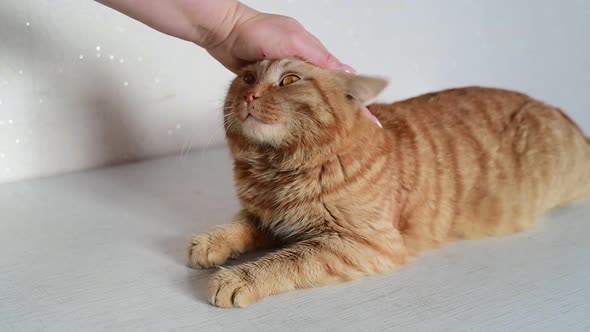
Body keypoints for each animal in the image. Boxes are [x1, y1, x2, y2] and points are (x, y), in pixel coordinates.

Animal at [188, 57, 590, 308]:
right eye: (247, 78)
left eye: (288, 80)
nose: (250, 94)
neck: (276, 172)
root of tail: (559, 111)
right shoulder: (267, 216)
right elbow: (240, 224)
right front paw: (211, 243)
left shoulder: (359, 244)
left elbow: (287, 260)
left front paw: (238, 277)